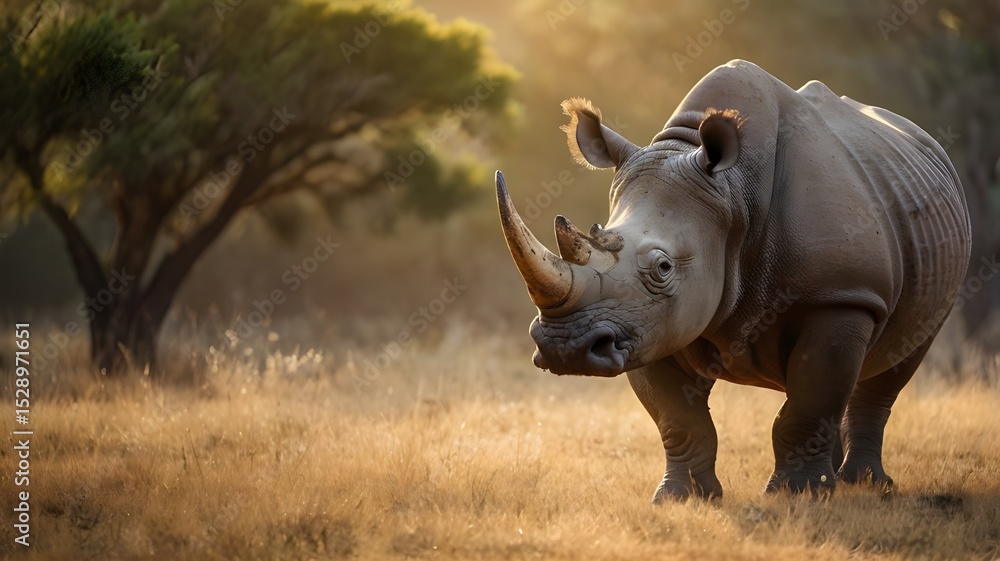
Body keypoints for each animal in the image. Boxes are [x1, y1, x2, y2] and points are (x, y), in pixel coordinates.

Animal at [496, 60, 971, 500]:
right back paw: (836, 481)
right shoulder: (647, 323)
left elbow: (809, 402)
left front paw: (796, 496)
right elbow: (678, 418)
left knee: (892, 366)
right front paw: (682, 498)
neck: (733, 195)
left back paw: (864, 485)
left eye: (663, 268)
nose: (567, 348)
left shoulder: (842, 294)